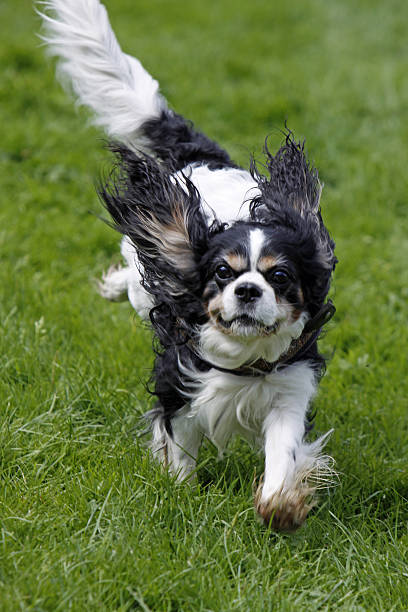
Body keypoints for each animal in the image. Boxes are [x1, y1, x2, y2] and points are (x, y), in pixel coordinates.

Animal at [39, 0, 336, 532]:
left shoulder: (289, 387)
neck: (244, 360)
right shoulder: (178, 381)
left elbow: (282, 452)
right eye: (223, 272)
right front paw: (179, 491)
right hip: (144, 285)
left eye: (280, 277)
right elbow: (179, 442)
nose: (247, 291)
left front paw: (280, 506)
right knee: (137, 277)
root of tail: (203, 160)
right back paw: (114, 285)